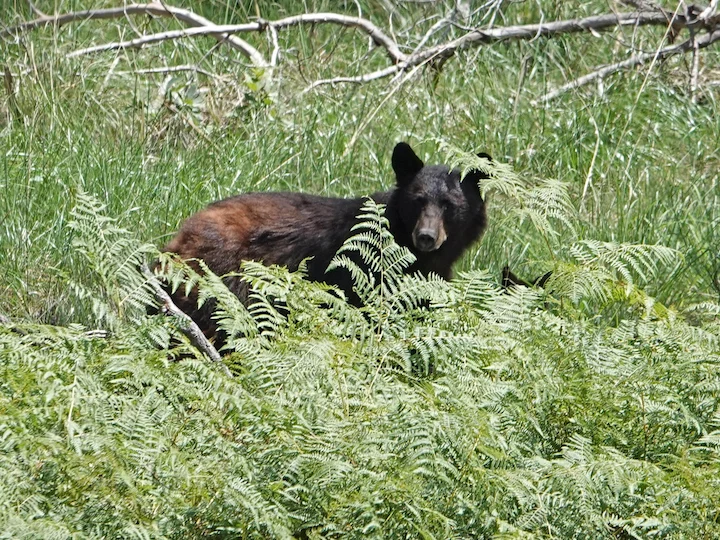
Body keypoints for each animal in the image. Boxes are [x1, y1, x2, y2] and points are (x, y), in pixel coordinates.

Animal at [160, 142, 490, 342]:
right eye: (417, 201)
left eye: (449, 205)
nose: (426, 237)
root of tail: (177, 239)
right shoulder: (362, 280)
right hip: (222, 281)